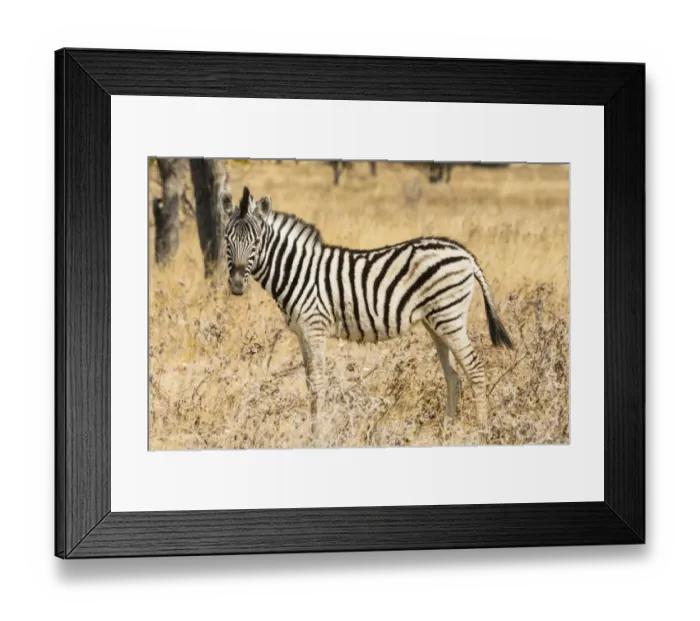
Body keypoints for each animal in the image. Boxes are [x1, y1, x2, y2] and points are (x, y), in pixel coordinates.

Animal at [223, 186, 513, 434]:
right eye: (227, 240)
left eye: (256, 242)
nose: (236, 284)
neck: (298, 271)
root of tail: (465, 254)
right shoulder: (302, 333)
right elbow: (309, 381)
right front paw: (313, 429)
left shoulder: (315, 328)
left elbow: (318, 382)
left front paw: (318, 433)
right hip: (436, 322)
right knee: (453, 376)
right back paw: (446, 432)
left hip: (449, 317)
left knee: (475, 369)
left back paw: (482, 430)